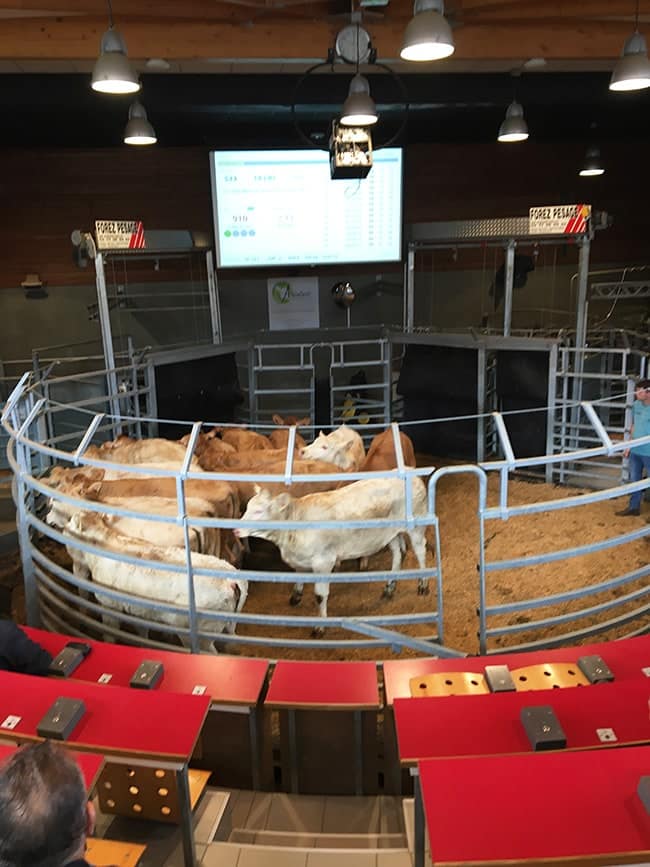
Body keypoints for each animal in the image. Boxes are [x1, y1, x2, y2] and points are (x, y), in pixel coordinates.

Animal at [61, 512, 248, 656]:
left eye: (70, 522)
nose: (63, 529)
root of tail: (230, 577)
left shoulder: (109, 605)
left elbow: (110, 634)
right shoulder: (138, 609)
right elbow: (142, 632)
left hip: (201, 634)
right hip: (222, 626)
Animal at [235, 478, 428, 636]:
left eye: (259, 511)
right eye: (247, 508)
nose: (235, 529)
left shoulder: (323, 561)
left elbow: (320, 595)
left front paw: (320, 626)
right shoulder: (301, 559)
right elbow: (299, 577)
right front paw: (296, 596)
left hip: (416, 527)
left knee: (420, 550)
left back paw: (423, 585)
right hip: (389, 534)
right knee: (398, 552)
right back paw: (389, 587)